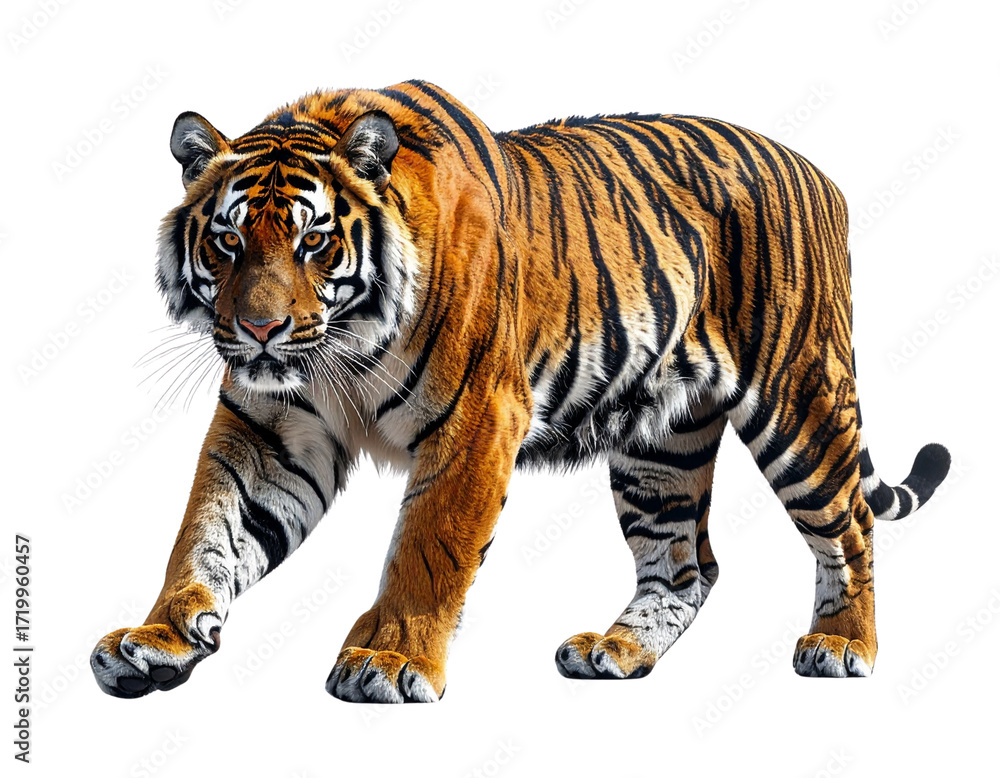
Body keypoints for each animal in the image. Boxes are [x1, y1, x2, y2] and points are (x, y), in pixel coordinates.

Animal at [90, 79, 951, 702]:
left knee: (849, 526)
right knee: (685, 564)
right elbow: (208, 530)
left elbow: (429, 545)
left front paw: (389, 659)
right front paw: (157, 638)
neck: (338, 349)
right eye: (229, 240)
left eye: (314, 241)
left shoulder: (478, 417)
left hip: (800, 401)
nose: (261, 330)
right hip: (659, 447)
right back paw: (618, 651)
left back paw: (841, 645)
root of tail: (816, 172)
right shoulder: (271, 430)